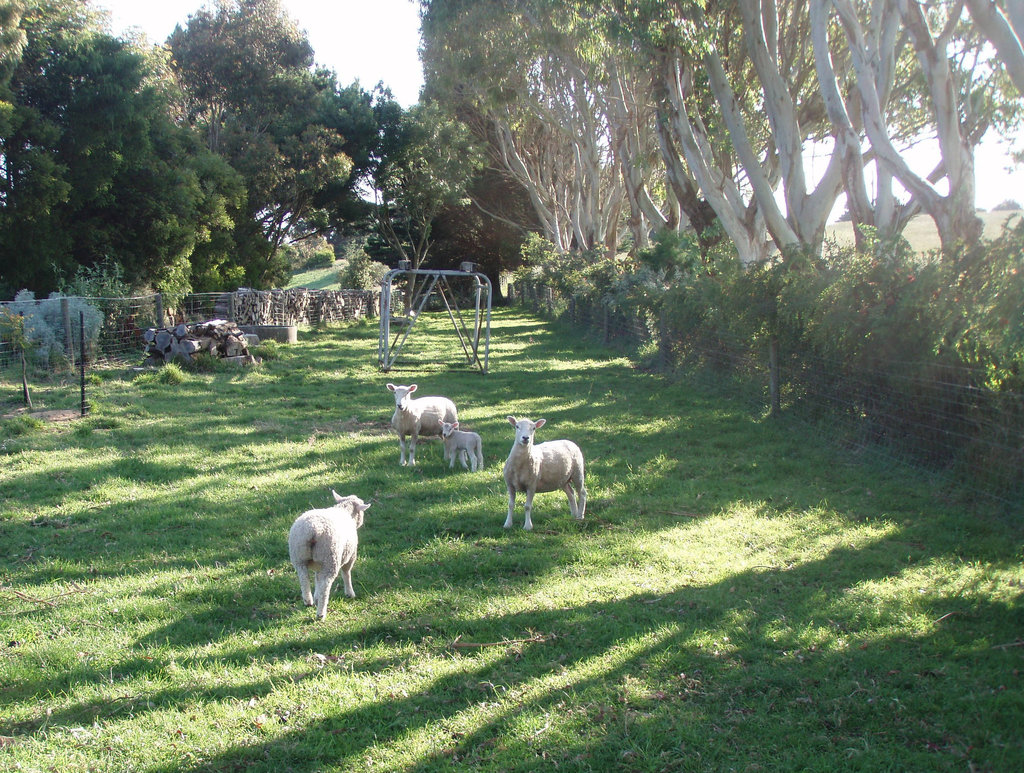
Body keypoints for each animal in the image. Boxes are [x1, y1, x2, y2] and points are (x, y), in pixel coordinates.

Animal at [286, 489, 370, 622]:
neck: (345, 510)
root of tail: (313, 530)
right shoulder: (351, 555)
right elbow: (346, 573)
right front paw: (350, 593)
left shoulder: (318, 564)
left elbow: (317, 579)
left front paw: (316, 596)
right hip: (331, 558)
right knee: (325, 586)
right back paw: (321, 613)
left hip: (299, 556)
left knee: (304, 578)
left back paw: (308, 601)